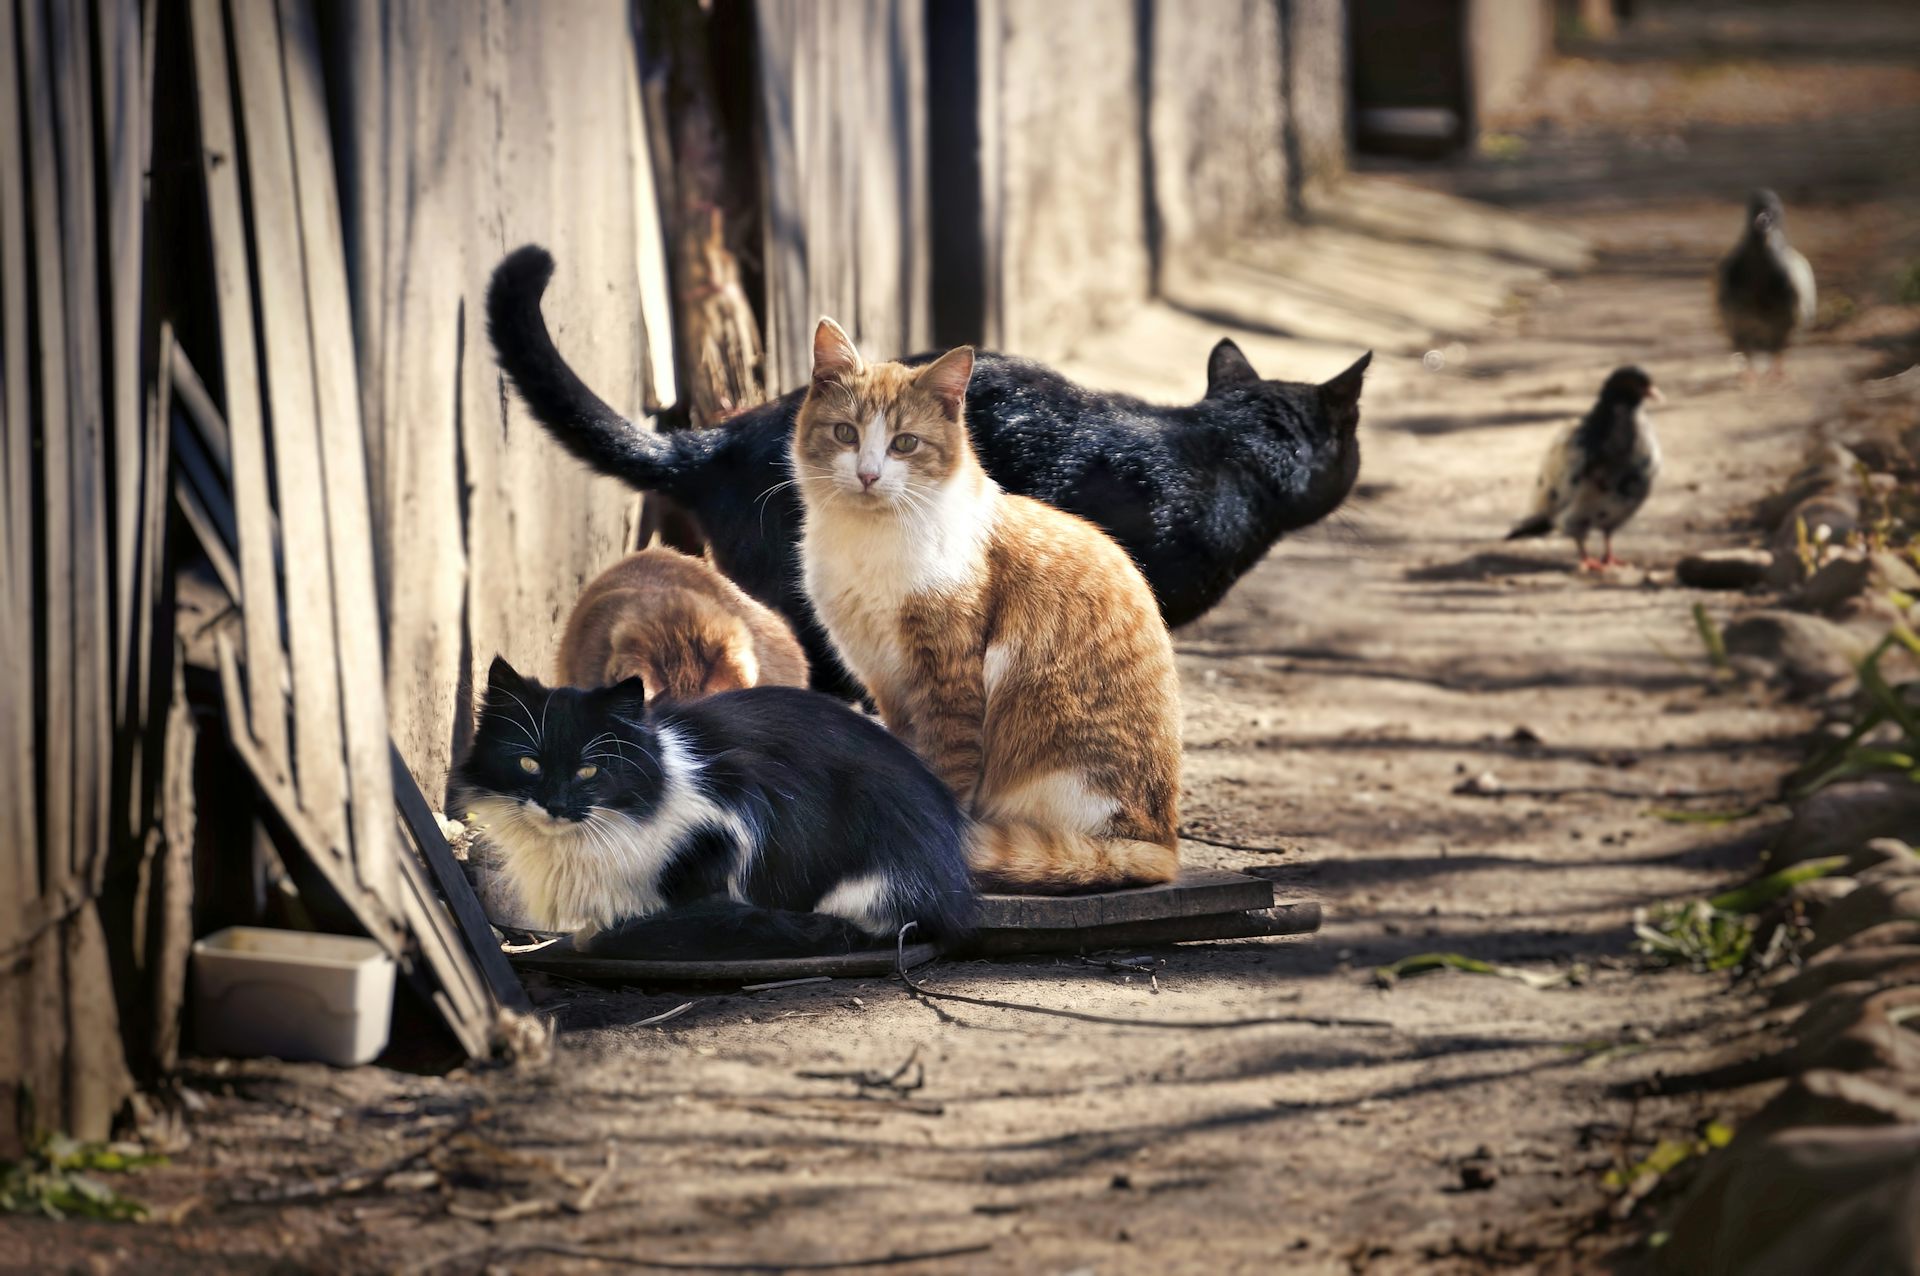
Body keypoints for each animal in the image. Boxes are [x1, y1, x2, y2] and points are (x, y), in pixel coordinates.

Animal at [451, 656, 975, 955]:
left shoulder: (736, 803)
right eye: (529, 764)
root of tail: (952, 890)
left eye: (588, 772)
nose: (556, 805)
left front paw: (617, 929)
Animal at [787, 320, 1175, 894]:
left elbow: (947, 771)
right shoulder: (889, 684)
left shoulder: (948, 678)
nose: (868, 474)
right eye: (845, 434)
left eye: (905, 443)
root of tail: (1162, 844)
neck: (869, 539)